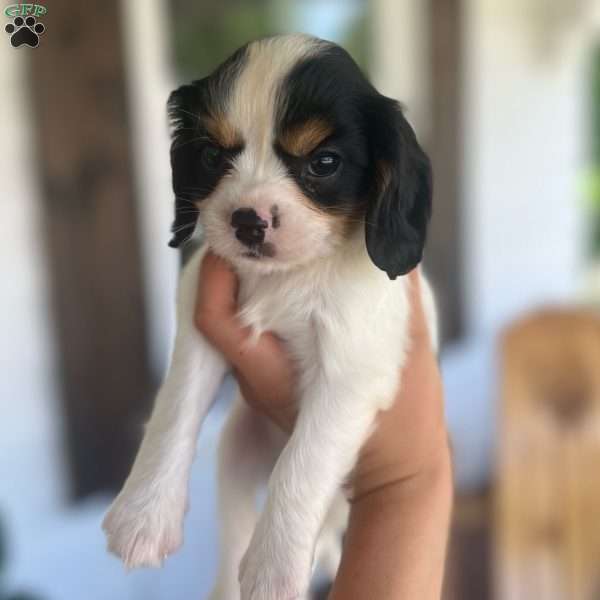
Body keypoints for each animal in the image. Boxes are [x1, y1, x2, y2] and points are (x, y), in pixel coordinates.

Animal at [103, 34, 438, 600]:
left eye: (323, 162)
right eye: (211, 155)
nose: (247, 221)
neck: (289, 276)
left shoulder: (350, 375)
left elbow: (302, 462)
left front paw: (275, 568)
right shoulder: (199, 321)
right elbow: (175, 409)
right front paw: (144, 515)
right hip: (236, 451)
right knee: (236, 522)